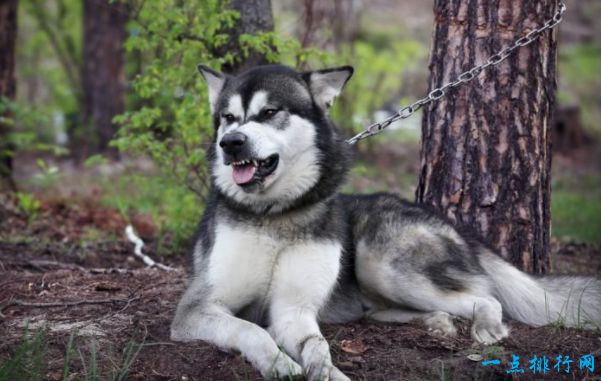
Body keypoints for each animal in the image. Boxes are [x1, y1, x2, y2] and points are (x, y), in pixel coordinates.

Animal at [170, 63, 600, 378]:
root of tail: (451, 225)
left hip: (381, 261)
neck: (277, 214)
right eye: (228, 117)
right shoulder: (198, 308)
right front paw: (280, 363)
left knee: (486, 297)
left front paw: (326, 371)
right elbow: (253, 329)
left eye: (269, 112)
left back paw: (483, 326)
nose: (231, 143)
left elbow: (317, 346)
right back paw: (436, 322)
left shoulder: (294, 309)